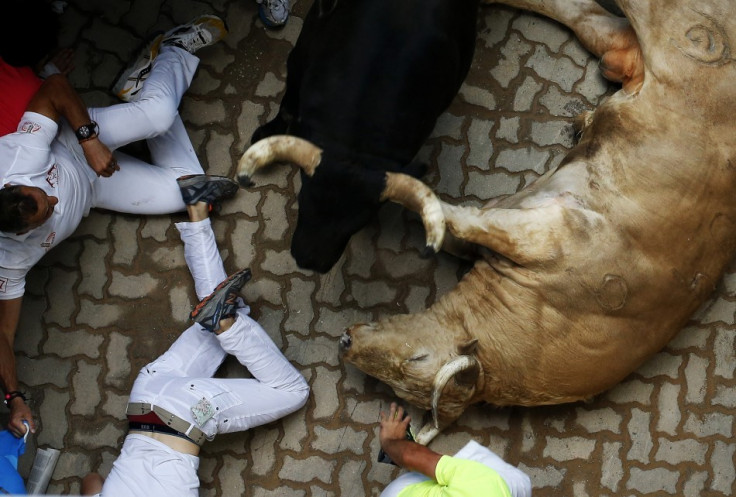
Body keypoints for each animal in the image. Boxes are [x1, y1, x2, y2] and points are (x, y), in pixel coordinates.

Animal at [338, 0, 736, 442]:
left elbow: (457, 220)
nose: (345, 340)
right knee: (590, 19)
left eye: (413, 364)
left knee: (595, 19)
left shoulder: (545, 235)